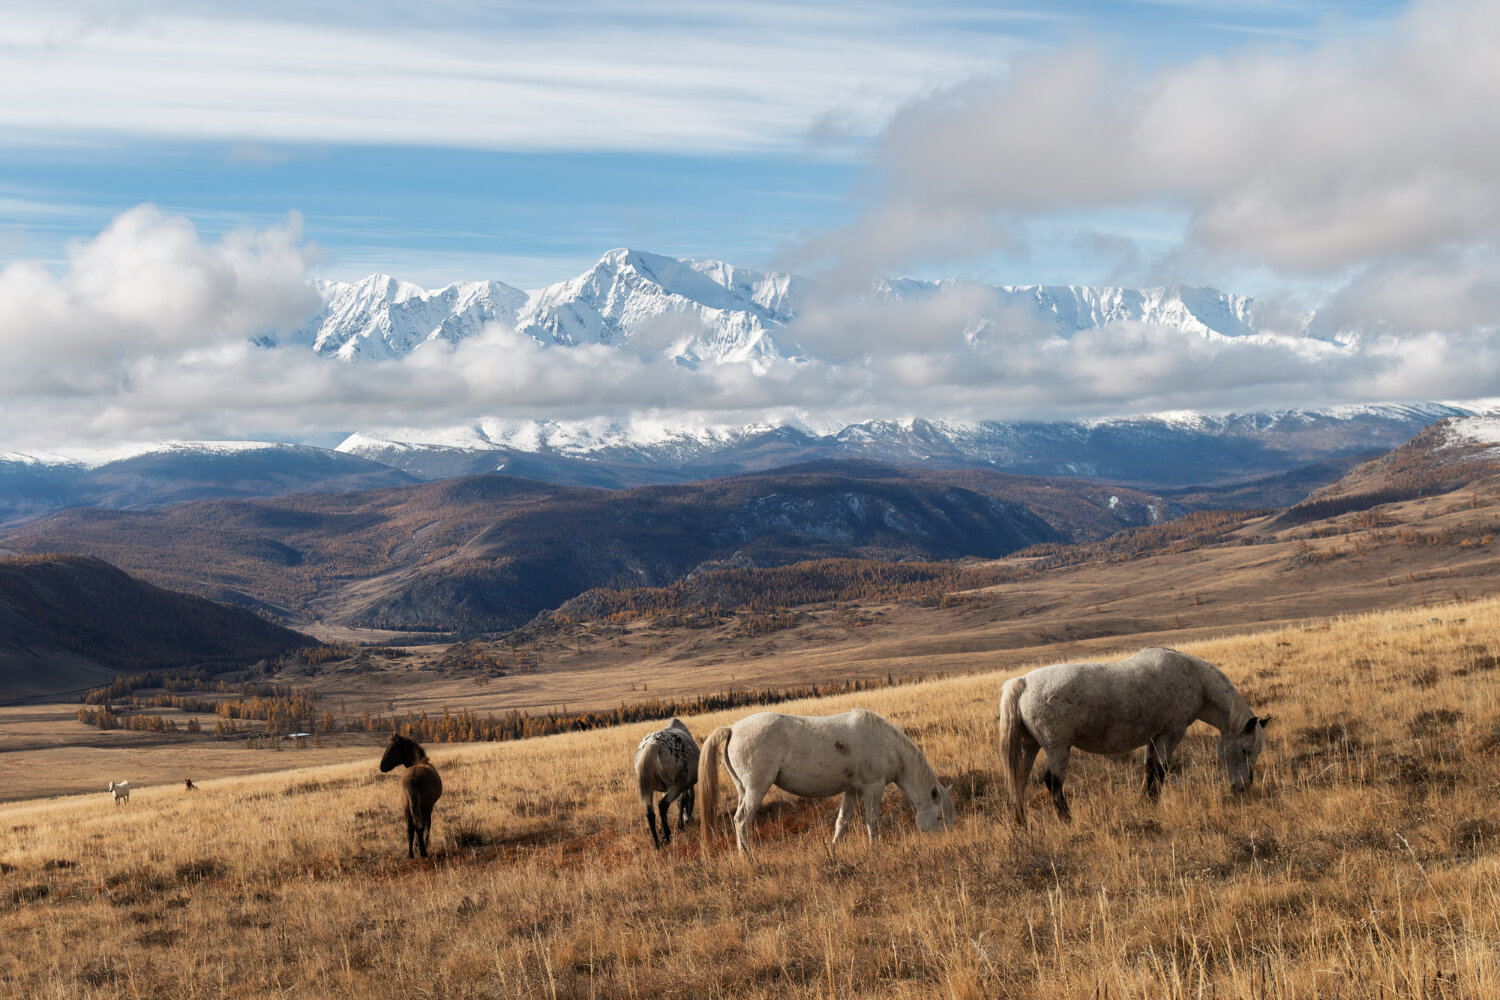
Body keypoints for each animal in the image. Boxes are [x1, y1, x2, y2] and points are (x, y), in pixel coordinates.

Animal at [633, 718, 699, 848]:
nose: (689, 820)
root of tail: (651, 746)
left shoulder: (666, 789)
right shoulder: (683, 787)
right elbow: (682, 802)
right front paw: (680, 826)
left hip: (648, 789)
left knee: (650, 813)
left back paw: (657, 843)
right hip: (676, 787)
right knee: (662, 805)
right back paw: (667, 836)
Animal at [699, 709, 955, 855]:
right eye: (939, 817)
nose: (946, 841)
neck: (887, 743)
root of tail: (732, 728)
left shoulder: (853, 790)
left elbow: (842, 821)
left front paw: (834, 849)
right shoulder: (874, 787)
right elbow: (872, 821)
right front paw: (875, 848)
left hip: (744, 789)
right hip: (756, 788)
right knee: (742, 821)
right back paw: (748, 857)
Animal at [998, 646, 1271, 824]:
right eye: (1245, 750)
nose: (1244, 788)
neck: (1194, 678)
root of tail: (1022, 682)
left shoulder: (1153, 736)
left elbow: (1149, 768)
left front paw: (1145, 801)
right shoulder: (1171, 733)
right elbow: (1161, 769)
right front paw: (1153, 801)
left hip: (1030, 747)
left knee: (1019, 780)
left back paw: (1020, 823)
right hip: (1056, 749)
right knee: (1052, 782)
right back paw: (1066, 820)